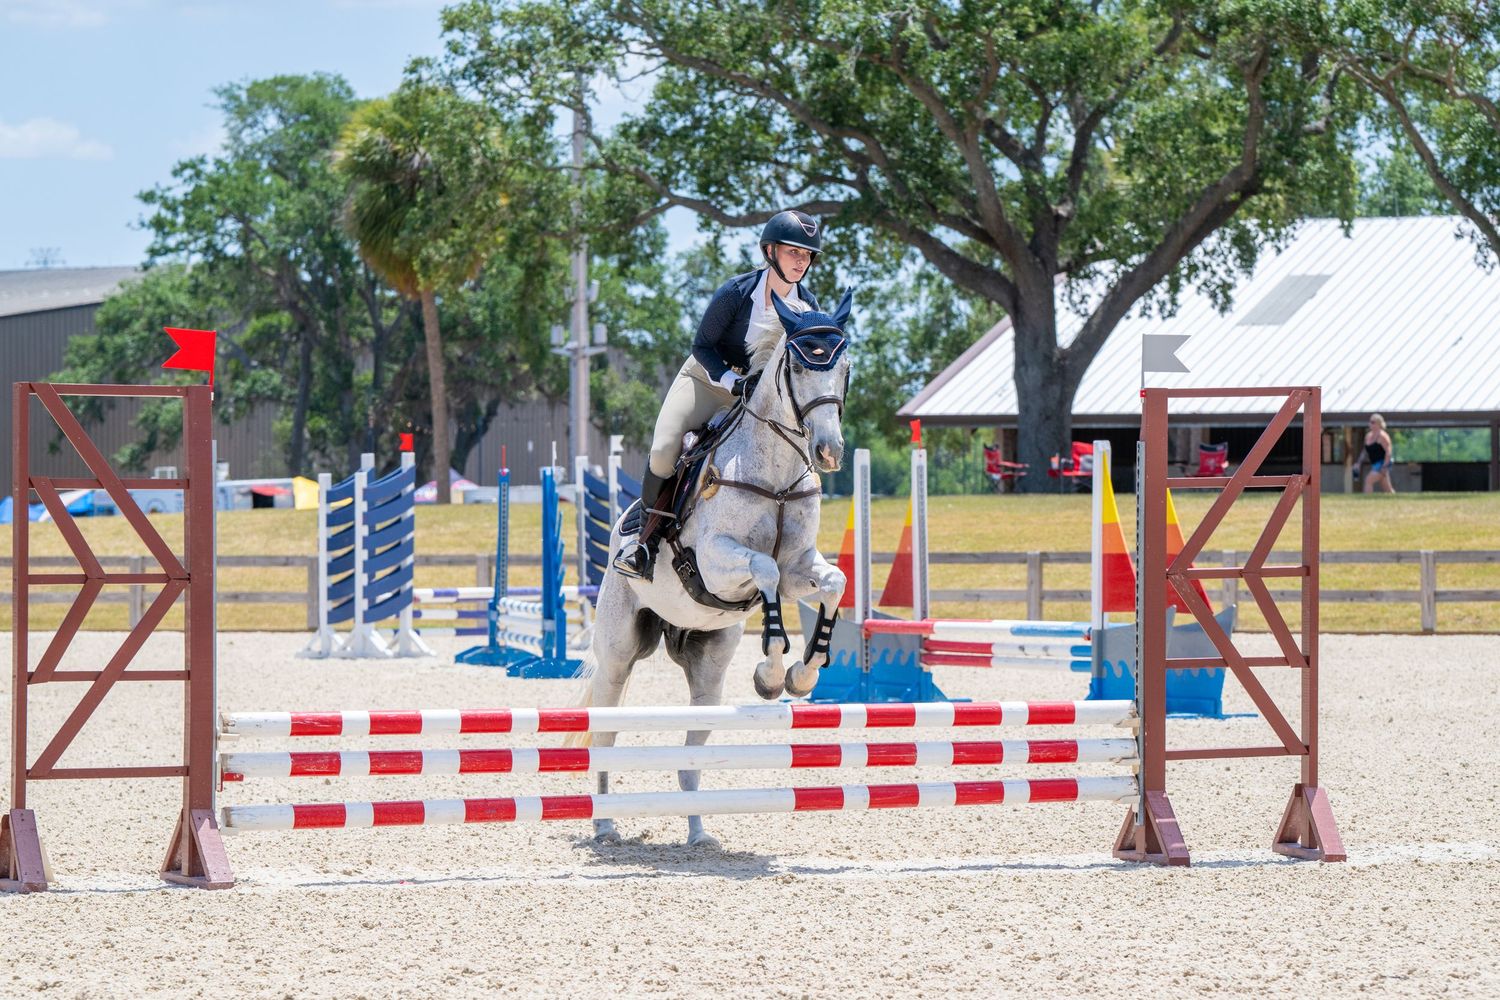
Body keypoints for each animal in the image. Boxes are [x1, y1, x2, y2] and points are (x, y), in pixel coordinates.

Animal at [573, 289, 853, 847]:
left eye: (844, 367)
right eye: (799, 365)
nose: (829, 451)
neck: (776, 474)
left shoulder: (800, 566)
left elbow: (832, 581)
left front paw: (801, 675)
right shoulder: (717, 563)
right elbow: (764, 573)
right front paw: (770, 672)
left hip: (707, 666)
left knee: (691, 753)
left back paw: (698, 831)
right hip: (617, 653)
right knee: (606, 731)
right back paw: (606, 823)